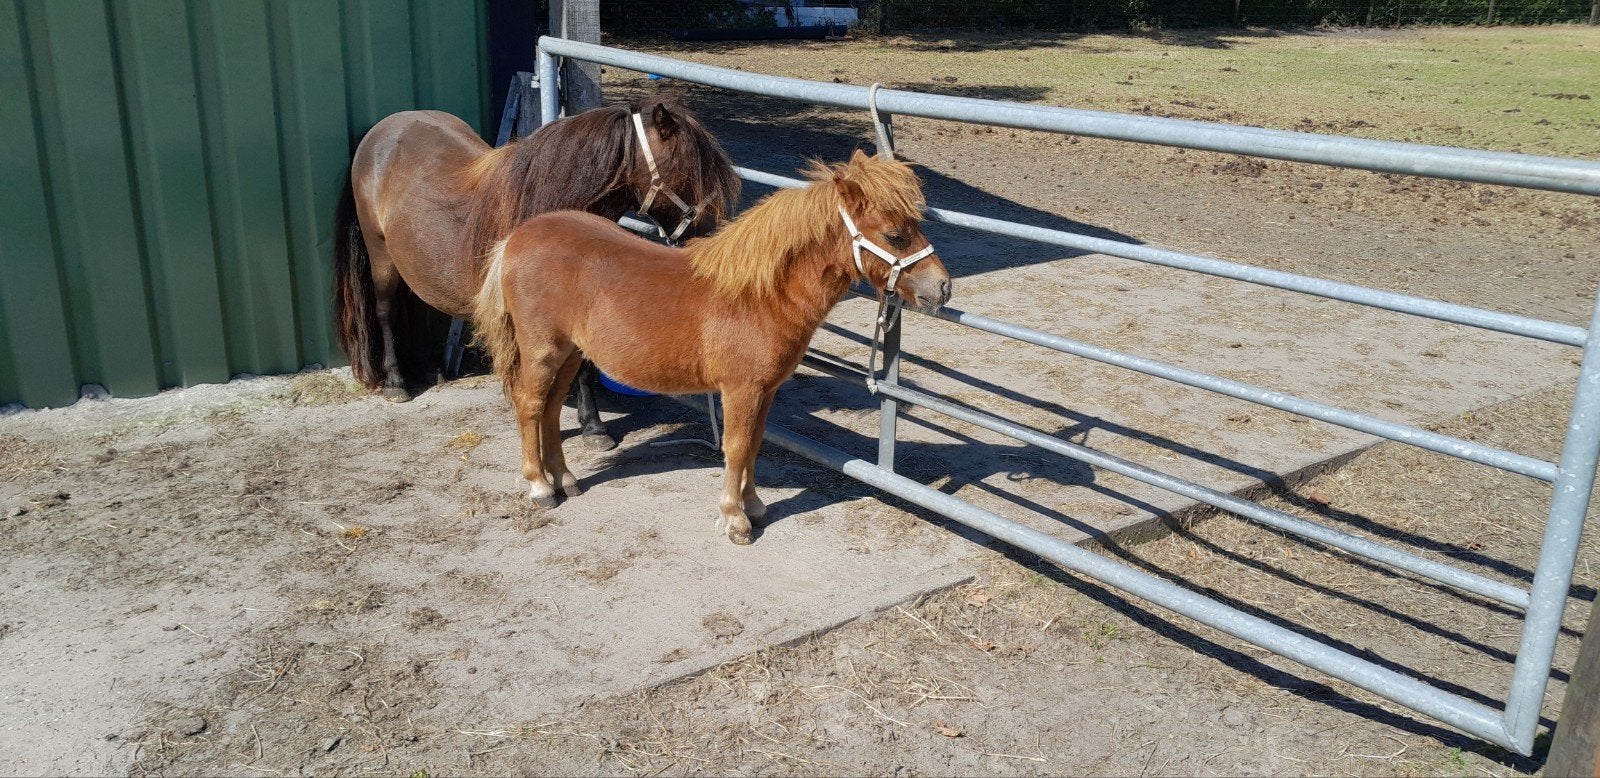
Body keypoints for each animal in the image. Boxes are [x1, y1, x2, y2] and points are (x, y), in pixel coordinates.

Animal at [332, 99, 739, 449]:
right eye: (686, 170)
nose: (708, 242)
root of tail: (382, 129)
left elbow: (584, 365)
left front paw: (593, 427)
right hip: (381, 256)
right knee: (385, 312)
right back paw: (396, 383)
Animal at [471, 149, 952, 545]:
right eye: (895, 235)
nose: (942, 288)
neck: (758, 294)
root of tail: (518, 238)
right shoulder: (740, 390)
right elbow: (736, 448)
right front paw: (734, 520)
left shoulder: (765, 391)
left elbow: (754, 445)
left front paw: (754, 507)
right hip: (542, 351)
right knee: (530, 406)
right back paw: (539, 487)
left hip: (571, 354)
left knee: (552, 409)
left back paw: (565, 479)